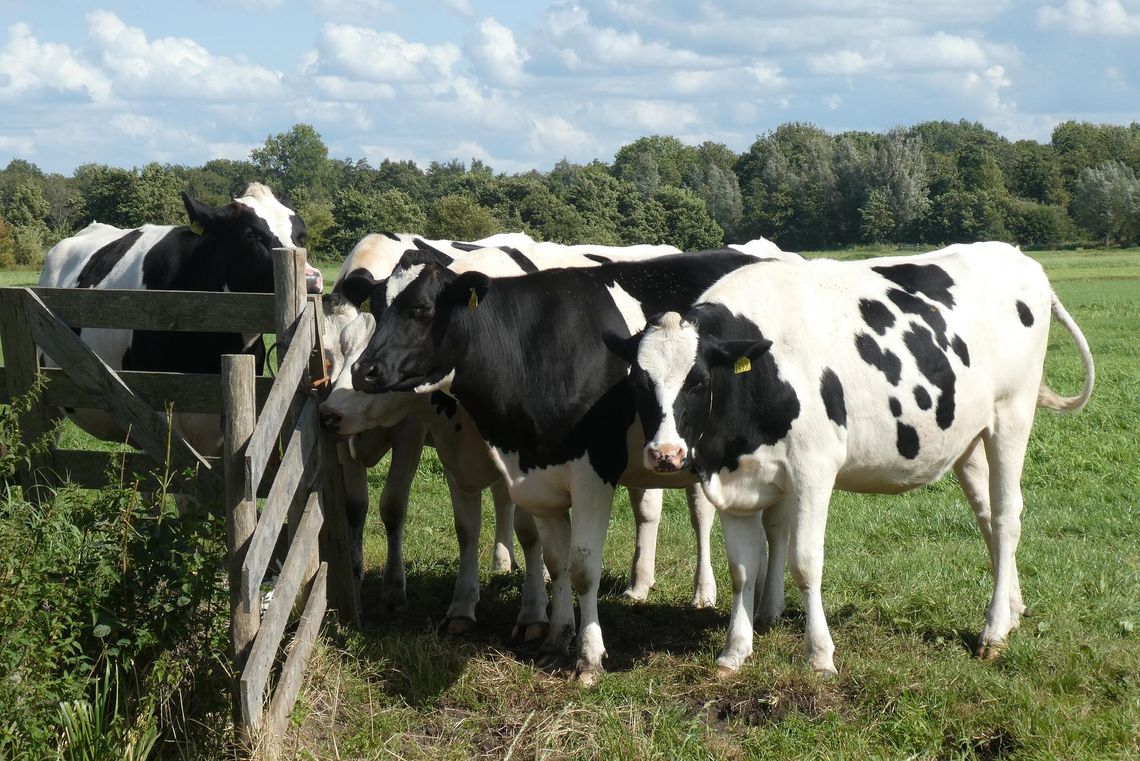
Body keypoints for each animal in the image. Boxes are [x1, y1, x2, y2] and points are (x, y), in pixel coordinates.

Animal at [348, 249, 793, 683]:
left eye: (421, 309)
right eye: (376, 307)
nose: (362, 370)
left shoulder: (594, 474)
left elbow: (583, 568)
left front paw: (589, 657)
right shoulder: (538, 475)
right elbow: (555, 562)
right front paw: (556, 640)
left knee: (759, 525)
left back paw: (747, 604)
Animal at [606, 240, 1094, 674]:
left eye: (699, 382)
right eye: (638, 383)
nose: (665, 454)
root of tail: (1015, 256)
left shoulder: (813, 470)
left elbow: (805, 563)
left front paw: (819, 656)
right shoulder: (731, 478)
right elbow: (742, 570)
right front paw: (734, 653)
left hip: (1012, 414)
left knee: (1008, 515)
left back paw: (993, 632)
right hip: (969, 439)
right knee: (988, 516)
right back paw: (1011, 610)